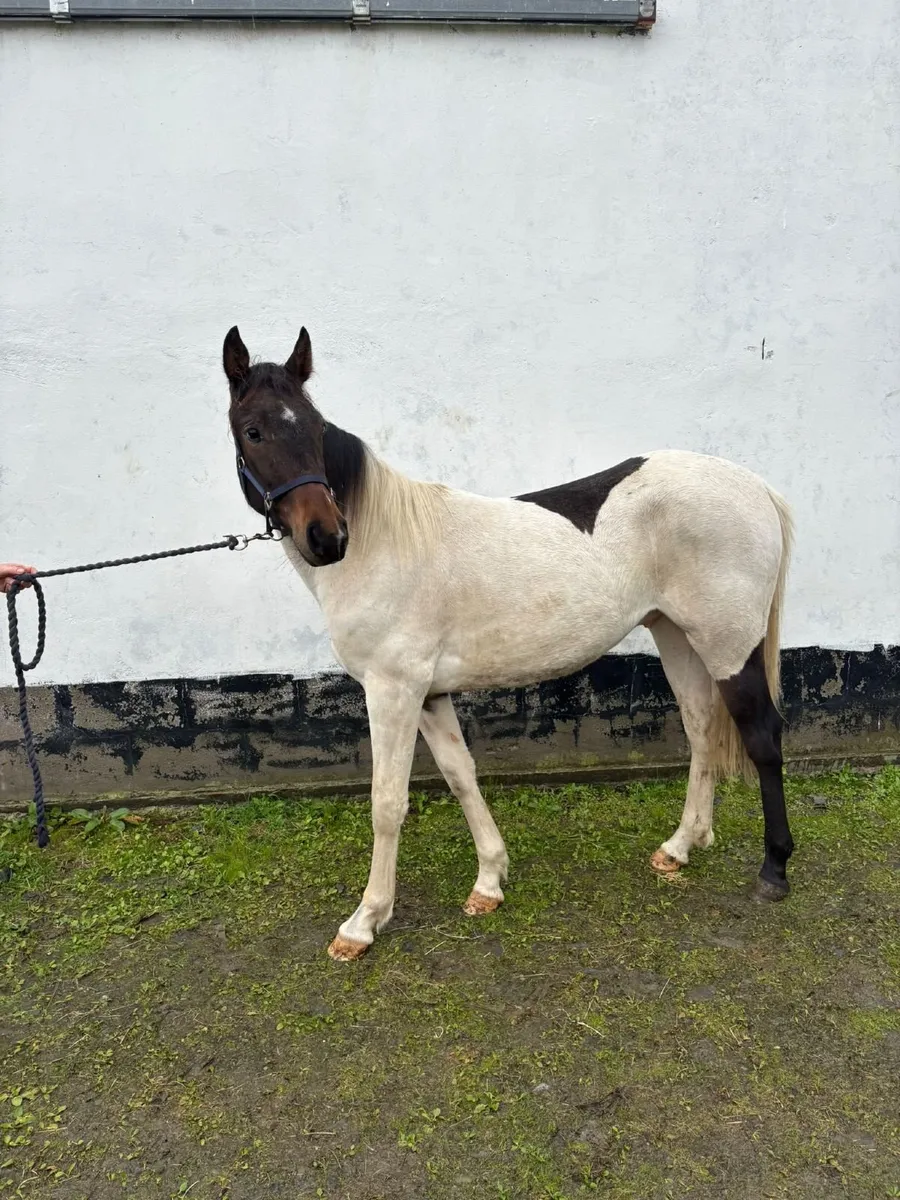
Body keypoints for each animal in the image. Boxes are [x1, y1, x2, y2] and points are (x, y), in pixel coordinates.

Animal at [223, 324, 795, 962]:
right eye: (253, 430)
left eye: (316, 427)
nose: (327, 538)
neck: (383, 541)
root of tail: (755, 487)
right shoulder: (427, 694)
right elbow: (460, 775)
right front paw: (489, 881)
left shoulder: (392, 691)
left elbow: (387, 804)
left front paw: (364, 922)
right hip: (678, 636)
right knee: (700, 729)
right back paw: (680, 846)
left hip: (730, 645)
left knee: (762, 737)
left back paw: (773, 871)